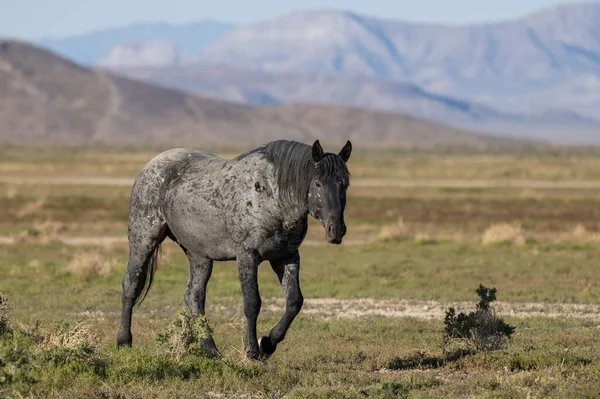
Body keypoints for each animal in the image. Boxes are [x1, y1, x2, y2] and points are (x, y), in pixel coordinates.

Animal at [116, 139, 352, 360]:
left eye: (345, 184)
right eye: (318, 183)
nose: (336, 230)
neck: (272, 196)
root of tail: (151, 165)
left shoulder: (287, 256)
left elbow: (294, 301)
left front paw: (268, 343)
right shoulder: (247, 255)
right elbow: (252, 302)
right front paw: (252, 350)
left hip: (198, 254)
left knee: (194, 295)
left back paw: (211, 349)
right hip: (143, 239)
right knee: (131, 285)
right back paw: (123, 341)